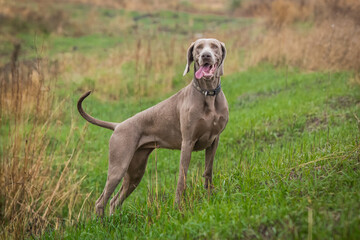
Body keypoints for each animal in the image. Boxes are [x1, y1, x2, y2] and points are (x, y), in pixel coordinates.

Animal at [77, 38, 229, 217]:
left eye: (214, 46)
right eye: (198, 47)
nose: (206, 55)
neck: (208, 94)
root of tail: (118, 125)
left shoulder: (214, 140)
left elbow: (208, 172)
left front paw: (210, 199)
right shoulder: (188, 142)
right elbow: (182, 178)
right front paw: (178, 209)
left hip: (136, 171)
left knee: (114, 201)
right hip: (118, 166)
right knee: (101, 201)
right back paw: (102, 223)